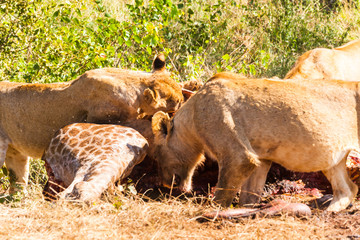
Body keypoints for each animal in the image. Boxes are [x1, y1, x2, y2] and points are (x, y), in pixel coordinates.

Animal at [0, 54, 183, 191]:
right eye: (178, 103)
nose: (183, 104)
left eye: (181, 97)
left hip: (15, 153)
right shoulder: (106, 118)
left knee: (18, 182)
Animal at [153, 72, 358, 211]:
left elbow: (223, 193)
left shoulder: (238, 155)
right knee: (348, 189)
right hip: (333, 160)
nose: (165, 184)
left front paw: (214, 212)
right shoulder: (261, 158)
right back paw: (328, 211)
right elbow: (248, 196)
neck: (192, 112)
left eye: (156, 155)